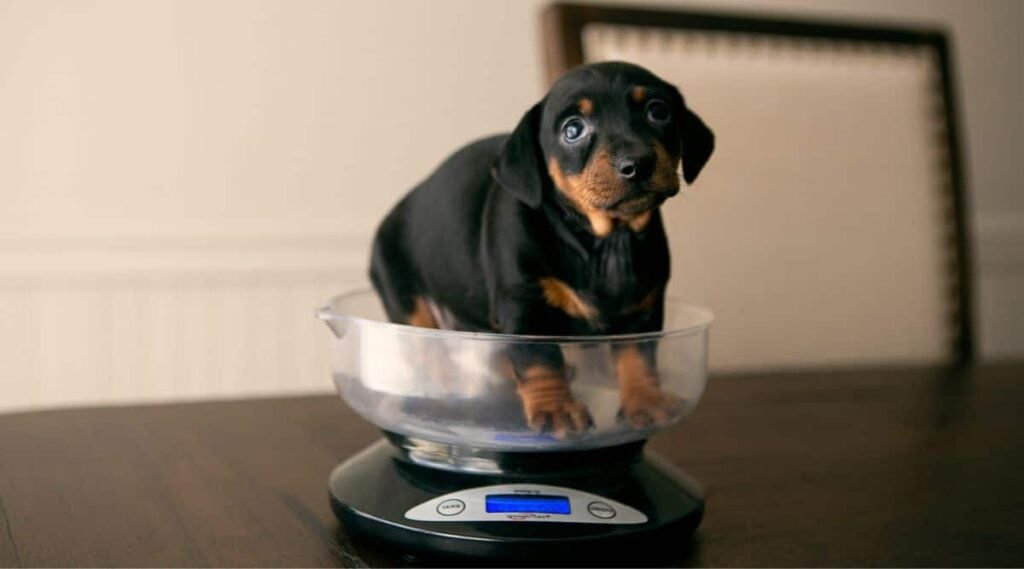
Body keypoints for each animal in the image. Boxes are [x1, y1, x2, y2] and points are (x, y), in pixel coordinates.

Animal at [368, 61, 712, 435]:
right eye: (573, 129)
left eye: (658, 111)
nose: (637, 164)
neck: (606, 239)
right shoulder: (525, 304)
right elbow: (539, 360)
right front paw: (556, 409)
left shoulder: (641, 308)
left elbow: (639, 357)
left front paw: (646, 401)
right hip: (409, 303)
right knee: (430, 356)